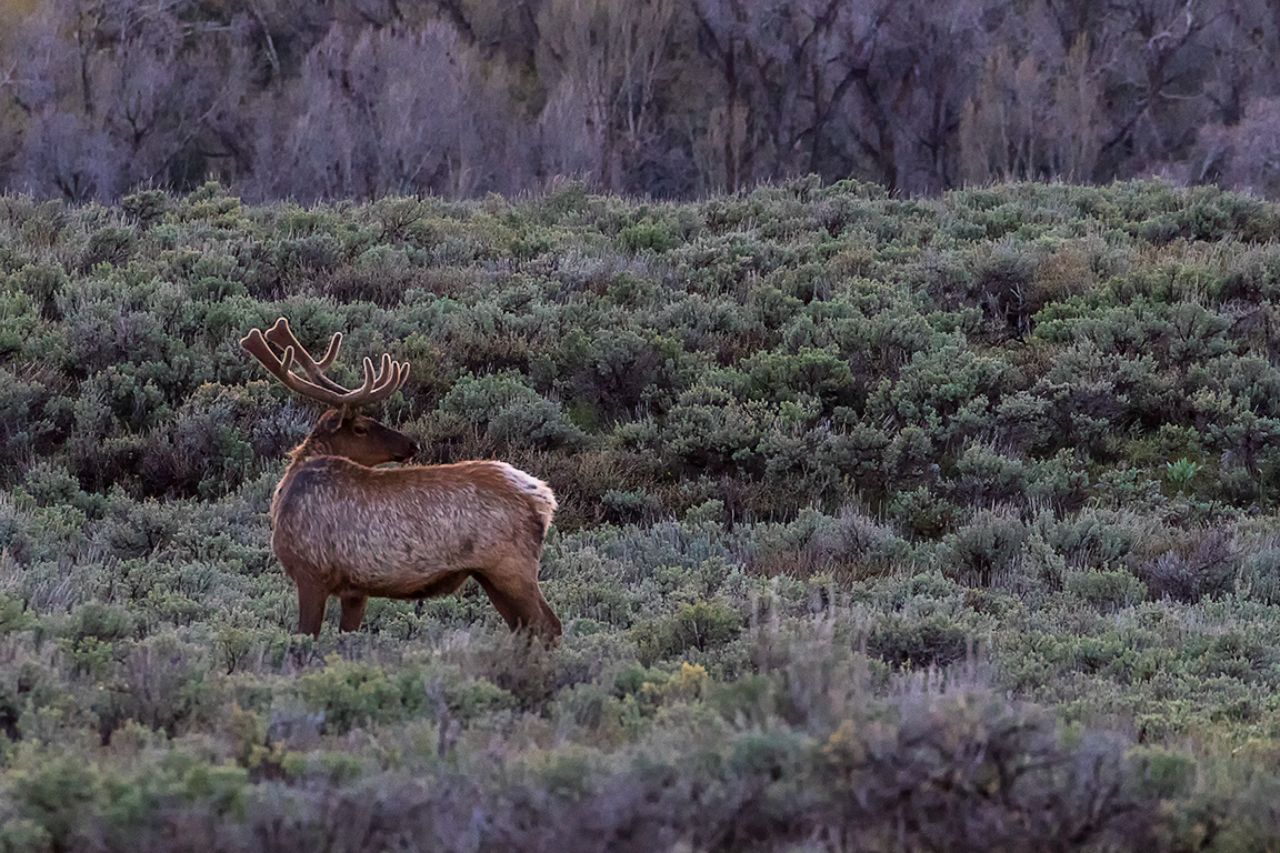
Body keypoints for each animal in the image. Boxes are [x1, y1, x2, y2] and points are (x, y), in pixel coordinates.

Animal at [240, 317, 562, 643]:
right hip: (490, 574)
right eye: (361, 427)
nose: (411, 444)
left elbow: (307, 634)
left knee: (548, 624)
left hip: (511, 566)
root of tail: (544, 498)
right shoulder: (355, 590)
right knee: (526, 627)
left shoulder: (311, 573)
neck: (285, 495)